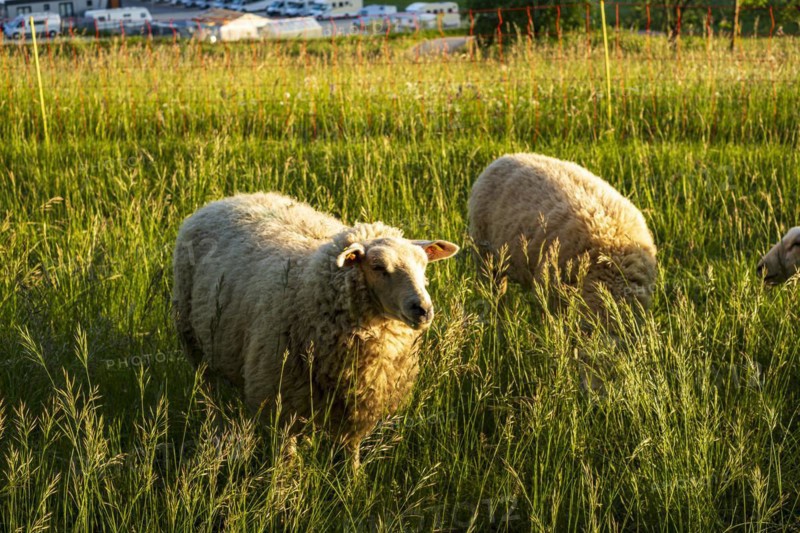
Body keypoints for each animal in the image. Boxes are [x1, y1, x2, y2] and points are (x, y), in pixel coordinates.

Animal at [172, 192, 459, 466]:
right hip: (198, 350)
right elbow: (287, 458)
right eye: (378, 267)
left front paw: (353, 480)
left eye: (424, 265)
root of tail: (227, 199)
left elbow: (350, 452)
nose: (423, 309)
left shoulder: (355, 405)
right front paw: (285, 483)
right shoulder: (280, 400)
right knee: (212, 402)